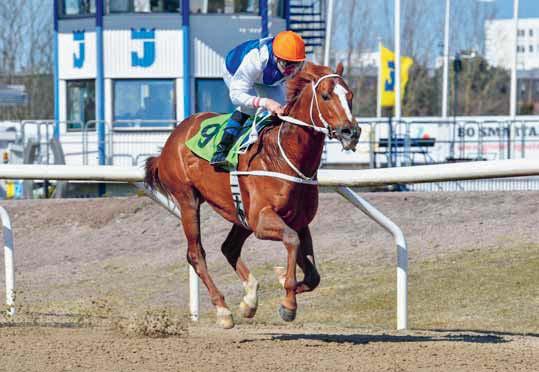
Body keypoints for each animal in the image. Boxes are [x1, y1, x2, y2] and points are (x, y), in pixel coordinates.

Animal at [146, 61, 360, 328]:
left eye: (350, 96)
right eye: (326, 96)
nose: (351, 132)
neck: (283, 157)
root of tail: (172, 138)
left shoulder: (299, 221)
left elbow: (313, 275)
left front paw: (281, 281)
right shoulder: (262, 220)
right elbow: (292, 241)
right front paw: (288, 303)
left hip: (240, 214)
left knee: (229, 247)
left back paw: (249, 300)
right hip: (188, 201)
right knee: (196, 254)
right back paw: (223, 309)